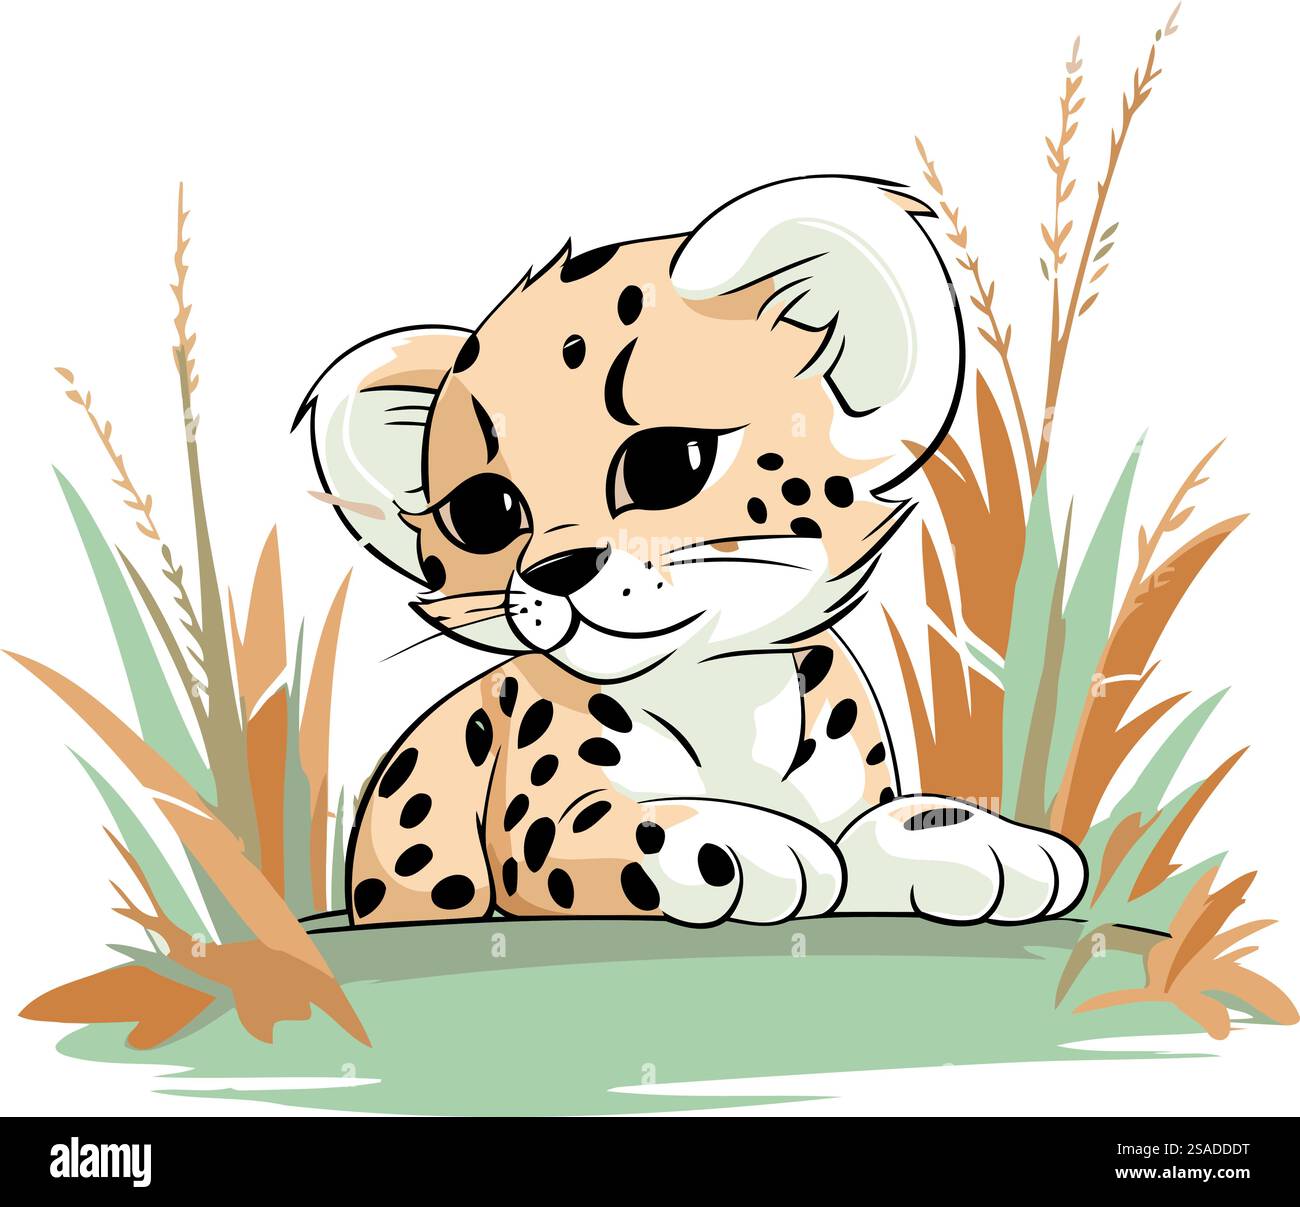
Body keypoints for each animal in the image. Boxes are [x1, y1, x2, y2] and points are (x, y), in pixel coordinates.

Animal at [295, 174, 1087, 928]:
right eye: (484, 511)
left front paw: (996, 843)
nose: (557, 572)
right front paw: (736, 841)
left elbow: (901, 816)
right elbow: (625, 821)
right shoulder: (541, 827)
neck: (722, 691)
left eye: (667, 464)